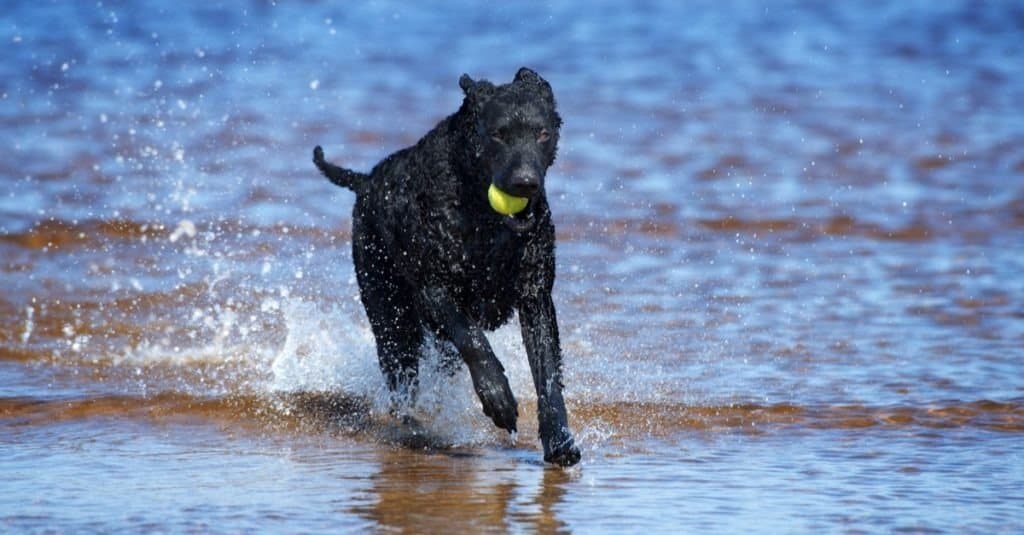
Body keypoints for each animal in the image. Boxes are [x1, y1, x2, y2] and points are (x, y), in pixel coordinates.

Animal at [311, 68, 581, 463]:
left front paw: (560, 441)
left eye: (543, 134)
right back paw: (413, 427)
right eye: (498, 134)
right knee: (401, 381)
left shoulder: (536, 297)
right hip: (391, 317)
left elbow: (547, 374)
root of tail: (367, 180)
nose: (525, 183)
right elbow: (473, 340)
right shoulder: (434, 287)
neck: (482, 216)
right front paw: (497, 396)